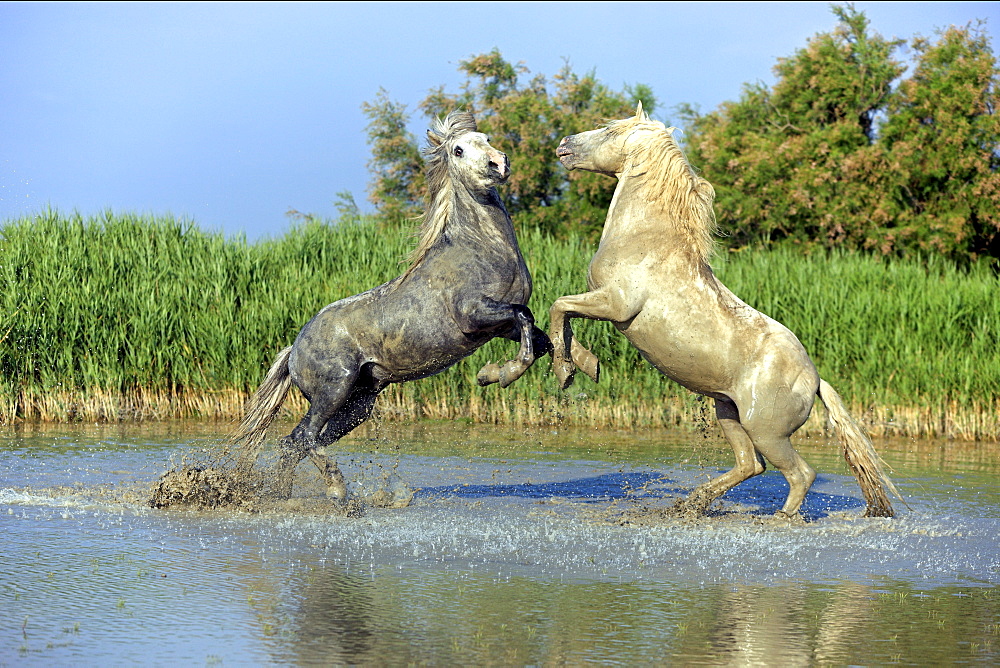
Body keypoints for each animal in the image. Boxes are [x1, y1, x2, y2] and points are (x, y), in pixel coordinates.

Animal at [231, 109, 552, 498]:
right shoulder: (474, 316)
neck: (481, 249)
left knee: (297, 443)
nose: (498, 164)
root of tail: (293, 350)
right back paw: (338, 491)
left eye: (487, 138)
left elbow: (539, 338)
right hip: (332, 392)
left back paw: (286, 496)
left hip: (359, 404)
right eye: (458, 150)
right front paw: (501, 374)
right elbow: (524, 317)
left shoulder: (498, 328)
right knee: (303, 438)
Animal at [548, 104, 900, 520]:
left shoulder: (614, 304)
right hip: (727, 411)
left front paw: (568, 370)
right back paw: (692, 503)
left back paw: (778, 519)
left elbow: (559, 307)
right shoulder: (601, 302)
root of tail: (814, 380)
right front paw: (585, 365)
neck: (645, 238)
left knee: (799, 473)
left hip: (766, 431)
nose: (564, 144)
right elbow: (565, 318)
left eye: (610, 132)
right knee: (750, 465)